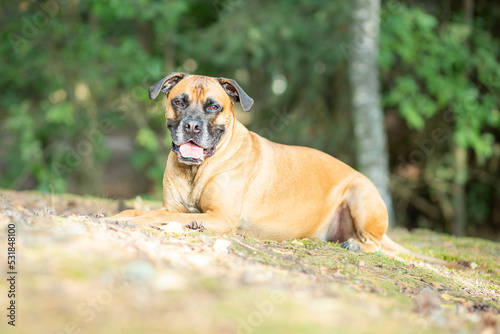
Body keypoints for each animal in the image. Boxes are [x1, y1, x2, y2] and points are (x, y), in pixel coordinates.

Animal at [112, 72, 458, 268]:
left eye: (213, 106)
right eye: (179, 102)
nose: (192, 126)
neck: (198, 170)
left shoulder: (218, 217)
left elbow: (160, 217)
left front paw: (132, 220)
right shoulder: (175, 207)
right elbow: (142, 210)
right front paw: (122, 215)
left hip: (360, 193)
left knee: (375, 245)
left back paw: (356, 243)